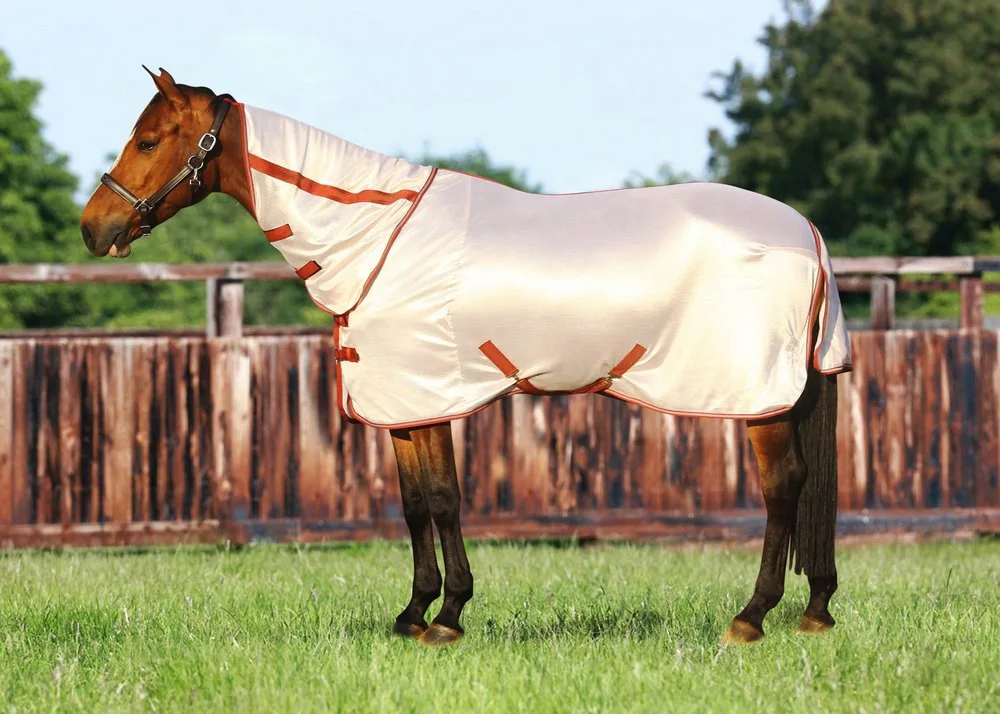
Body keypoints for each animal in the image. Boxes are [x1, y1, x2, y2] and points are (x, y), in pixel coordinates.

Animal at [80, 67, 852, 646]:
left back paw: (751, 617)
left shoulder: (428, 393)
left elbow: (445, 499)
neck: (377, 235)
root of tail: (807, 233)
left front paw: (448, 617)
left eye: (148, 140)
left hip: (761, 397)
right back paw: (813, 612)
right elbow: (415, 504)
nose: (94, 228)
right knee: (811, 485)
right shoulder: (401, 405)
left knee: (784, 486)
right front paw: (414, 613)